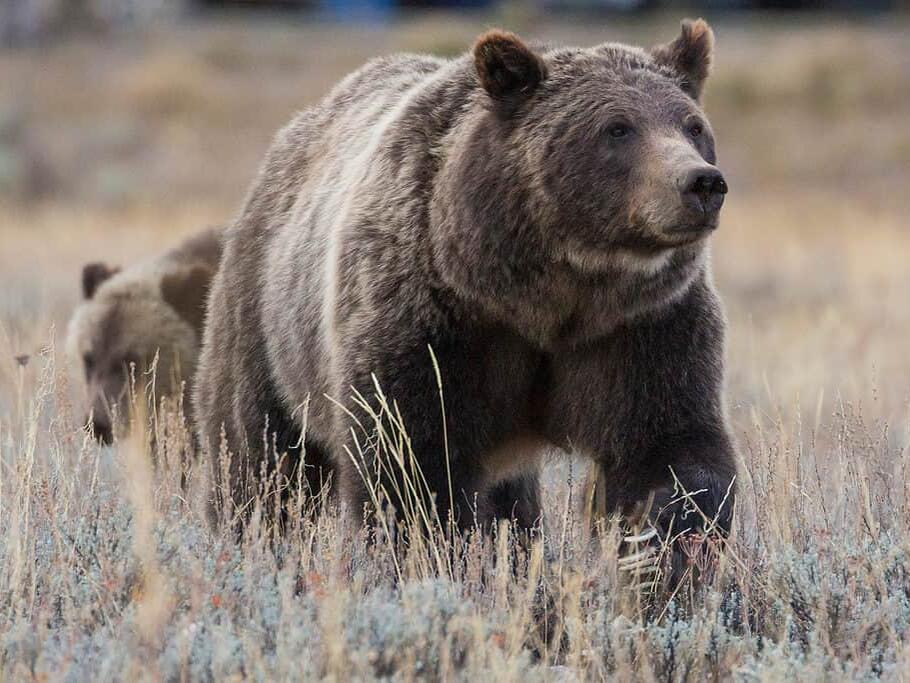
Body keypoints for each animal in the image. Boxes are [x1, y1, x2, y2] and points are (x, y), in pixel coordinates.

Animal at [194, 20, 738, 552]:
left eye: (692, 125)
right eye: (617, 128)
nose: (702, 183)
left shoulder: (641, 324)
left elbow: (667, 445)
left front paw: (661, 540)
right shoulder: (432, 316)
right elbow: (413, 459)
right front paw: (430, 546)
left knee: (513, 501)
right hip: (267, 323)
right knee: (261, 456)